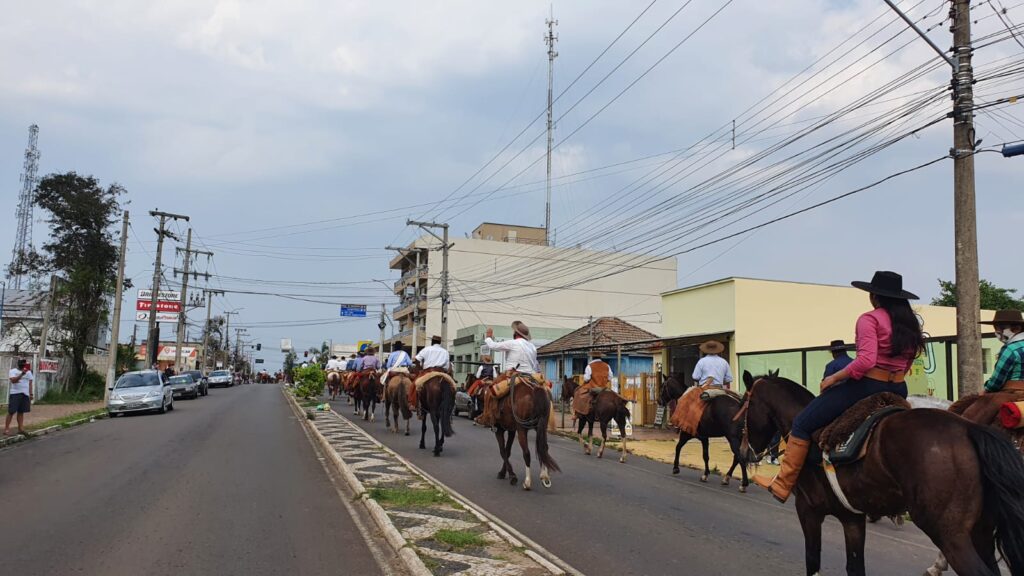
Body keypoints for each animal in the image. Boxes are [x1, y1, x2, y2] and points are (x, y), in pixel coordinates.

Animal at [741, 366, 1019, 573]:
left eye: (745, 405)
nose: (746, 451)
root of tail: (970, 428)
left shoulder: (808, 511)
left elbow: (813, 561)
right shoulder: (852, 519)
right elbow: (855, 567)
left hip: (952, 536)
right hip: (981, 533)